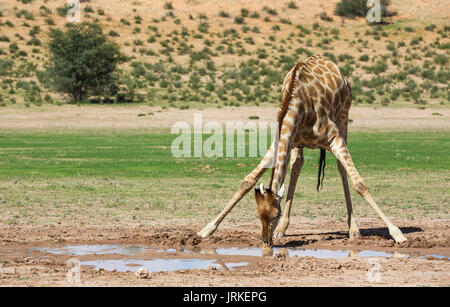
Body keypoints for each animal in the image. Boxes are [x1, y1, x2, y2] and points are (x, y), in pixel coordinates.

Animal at [198, 53, 408, 250]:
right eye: (258, 215)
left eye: (274, 215)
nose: (266, 242)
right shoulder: (280, 142)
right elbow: (247, 181)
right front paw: (205, 230)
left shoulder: (334, 138)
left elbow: (359, 183)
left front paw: (397, 234)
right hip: (298, 145)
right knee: (296, 166)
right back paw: (282, 230)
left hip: (343, 119)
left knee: (341, 169)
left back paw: (354, 229)